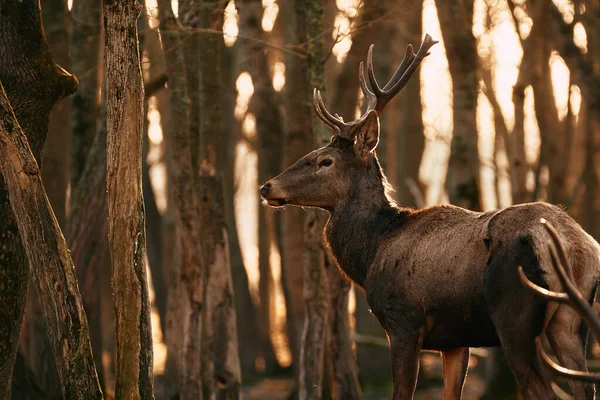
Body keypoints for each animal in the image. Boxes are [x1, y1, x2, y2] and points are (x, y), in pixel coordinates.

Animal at [260, 35, 600, 400]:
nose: (266, 186)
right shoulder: (455, 341)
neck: (373, 253)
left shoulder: (403, 322)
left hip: (515, 318)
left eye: (325, 160)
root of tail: (574, 246)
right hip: (571, 321)